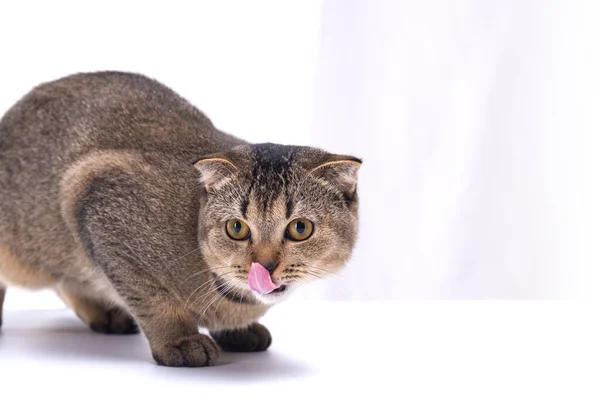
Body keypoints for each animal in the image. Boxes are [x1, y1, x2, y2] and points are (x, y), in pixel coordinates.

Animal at [0, 71, 360, 366]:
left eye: (300, 228)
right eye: (236, 228)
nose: (265, 266)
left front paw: (237, 331)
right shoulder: (92, 197)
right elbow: (150, 296)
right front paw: (179, 338)